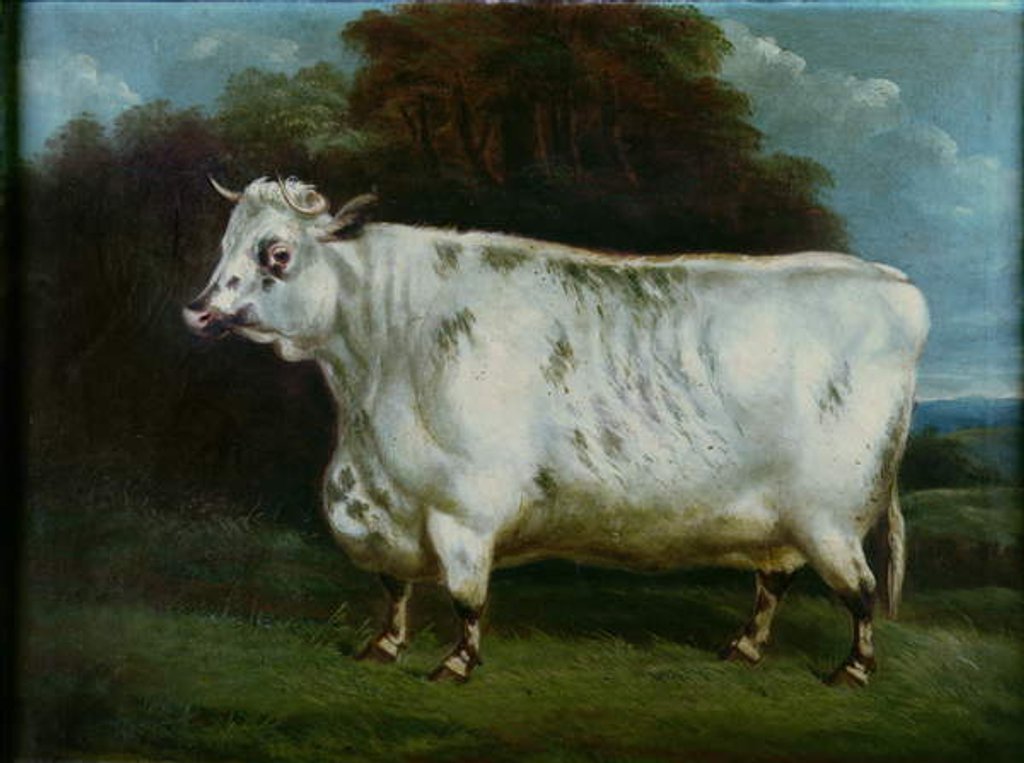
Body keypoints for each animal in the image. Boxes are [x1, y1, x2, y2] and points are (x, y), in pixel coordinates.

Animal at [184, 176, 929, 686]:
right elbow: (395, 584)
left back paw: (853, 670)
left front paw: (457, 662)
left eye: (277, 253)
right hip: (782, 518)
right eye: (223, 246)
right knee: (773, 582)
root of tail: (890, 283)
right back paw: (744, 646)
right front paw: (385, 644)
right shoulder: (385, 503)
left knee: (860, 590)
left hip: (831, 511)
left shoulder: (463, 503)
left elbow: (466, 593)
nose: (199, 309)